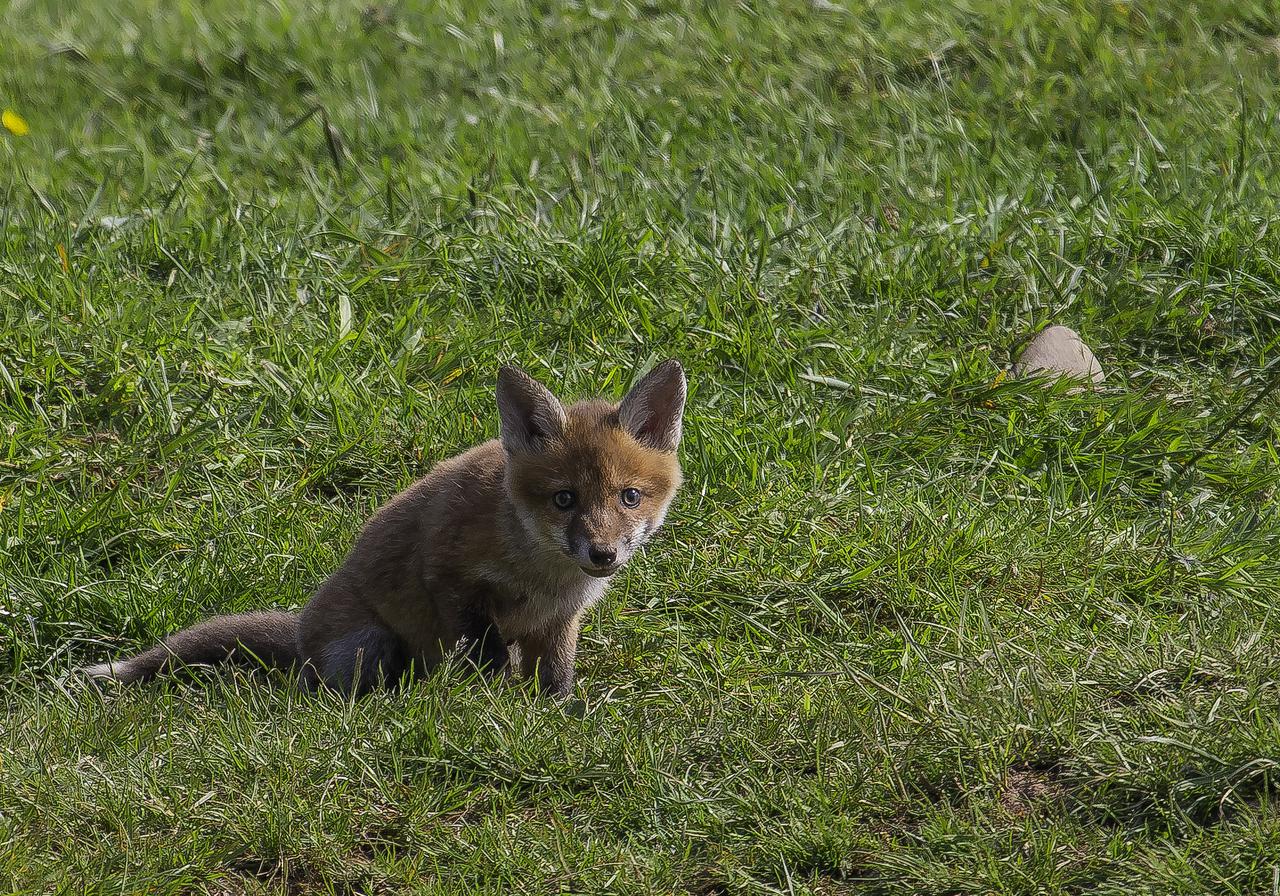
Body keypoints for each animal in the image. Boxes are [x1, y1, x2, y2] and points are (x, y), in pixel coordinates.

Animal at [80, 360, 687, 698]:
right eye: (565, 499)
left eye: (629, 497)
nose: (603, 554)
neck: (542, 576)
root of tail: (301, 630)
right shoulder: (449, 575)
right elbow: (483, 654)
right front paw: (490, 705)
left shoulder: (559, 621)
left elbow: (556, 680)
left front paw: (555, 716)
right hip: (371, 644)